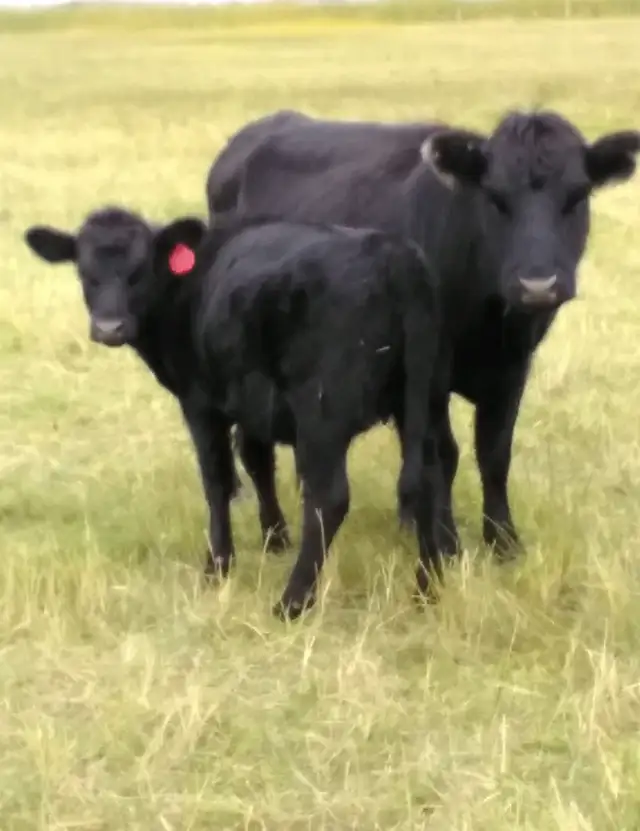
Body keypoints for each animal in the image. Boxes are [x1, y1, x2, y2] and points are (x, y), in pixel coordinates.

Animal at [24, 207, 442, 619]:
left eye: (139, 270)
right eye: (85, 272)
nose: (110, 328)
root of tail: (394, 256)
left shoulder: (200, 403)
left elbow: (218, 480)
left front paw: (218, 565)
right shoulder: (253, 402)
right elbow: (258, 462)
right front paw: (275, 537)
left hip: (322, 414)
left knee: (329, 498)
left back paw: (292, 602)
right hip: (423, 401)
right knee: (429, 479)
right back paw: (427, 587)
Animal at [206, 108, 640, 559]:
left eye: (576, 195)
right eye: (495, 197)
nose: (537, 285)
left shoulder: (513, 368)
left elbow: (494, 453)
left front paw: (502, 541)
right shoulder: (429, 372)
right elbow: (443, 456)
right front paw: (447, 542)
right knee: (254, 450)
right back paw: (276, 535)